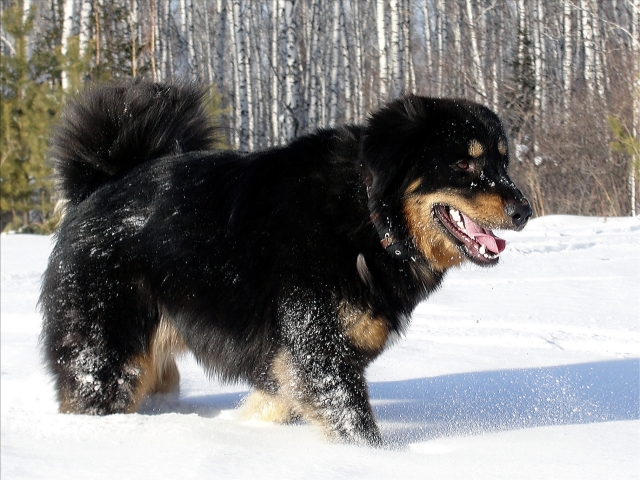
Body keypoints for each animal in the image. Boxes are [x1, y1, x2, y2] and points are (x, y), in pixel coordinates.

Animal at [38, 79, 528, 446]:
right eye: (464, 164)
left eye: (503, 163)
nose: (523, 209)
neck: (367, 215)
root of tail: (99, 186)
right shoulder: (319, 350)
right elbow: (355, 426)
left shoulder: (298, 360)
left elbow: (277, 400)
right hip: (109, 358)